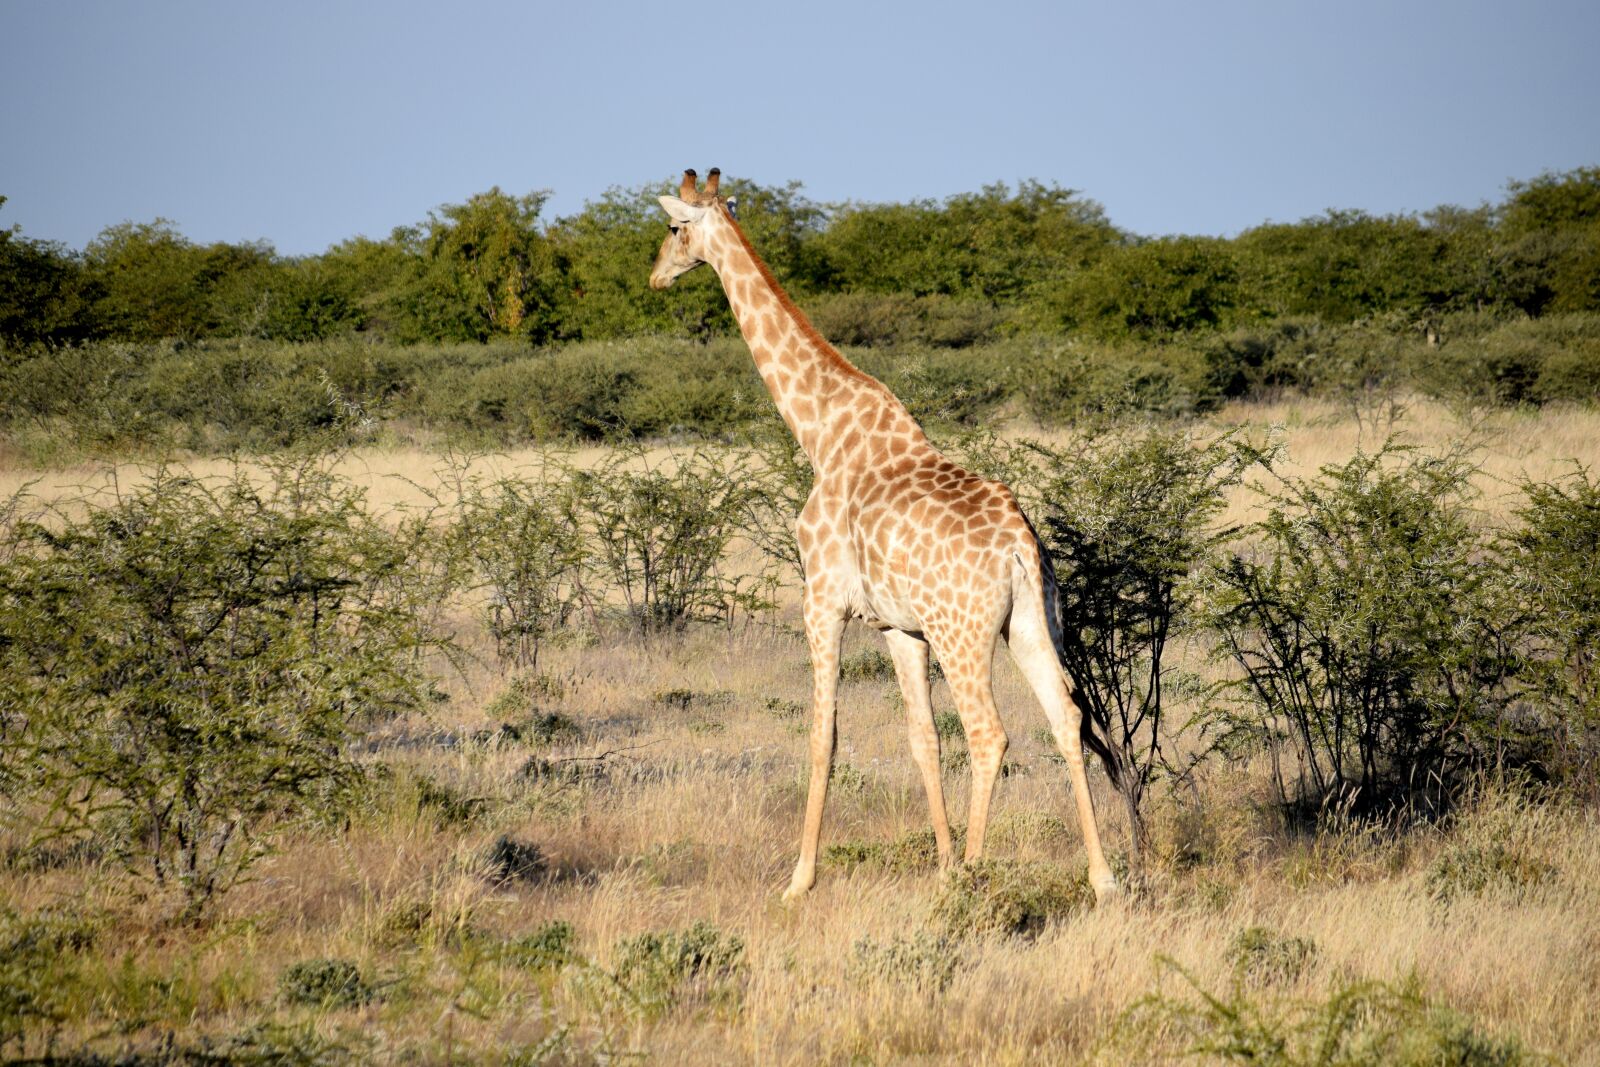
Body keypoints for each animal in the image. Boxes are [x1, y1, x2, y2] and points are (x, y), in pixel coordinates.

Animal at [650, 168, 1119, 904]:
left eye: (673, 229)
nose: (656, 277)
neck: (819, 433)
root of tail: (1020, 545)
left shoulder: (820, 599)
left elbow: (823, 734)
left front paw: (800, 880)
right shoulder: (900, 626)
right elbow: (921, 737)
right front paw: (941, 860)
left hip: (964, 634)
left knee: (989, 734)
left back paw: (976, 878)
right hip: (1031, 622)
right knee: (1066, 718)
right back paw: (1102, 879)